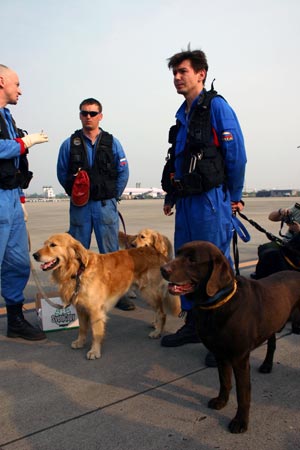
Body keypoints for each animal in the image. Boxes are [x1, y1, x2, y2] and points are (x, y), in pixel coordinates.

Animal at [32, 232, 180, 358]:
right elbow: (82, 328)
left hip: (149, 292)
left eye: (53, 245)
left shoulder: (95, 310)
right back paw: (155, 324)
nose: (34, 255)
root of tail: (156, 251)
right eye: (45, 244)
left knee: (162, 312)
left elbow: (96, 332)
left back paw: (158, 331)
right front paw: (80, 342)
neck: (78, 270)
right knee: (158, 310)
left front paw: (94, 351)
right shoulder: (80, 308)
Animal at [162, 241, 300, 434]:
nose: (162, 269)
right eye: (179, 253)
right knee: (272, 343)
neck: (217, 305)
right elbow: (224, 381)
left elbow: (243, 393)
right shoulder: (220, 354)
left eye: (192, 260)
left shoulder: (239, 358)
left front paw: (240, 421)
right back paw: (267, 365)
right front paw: (221, 401)